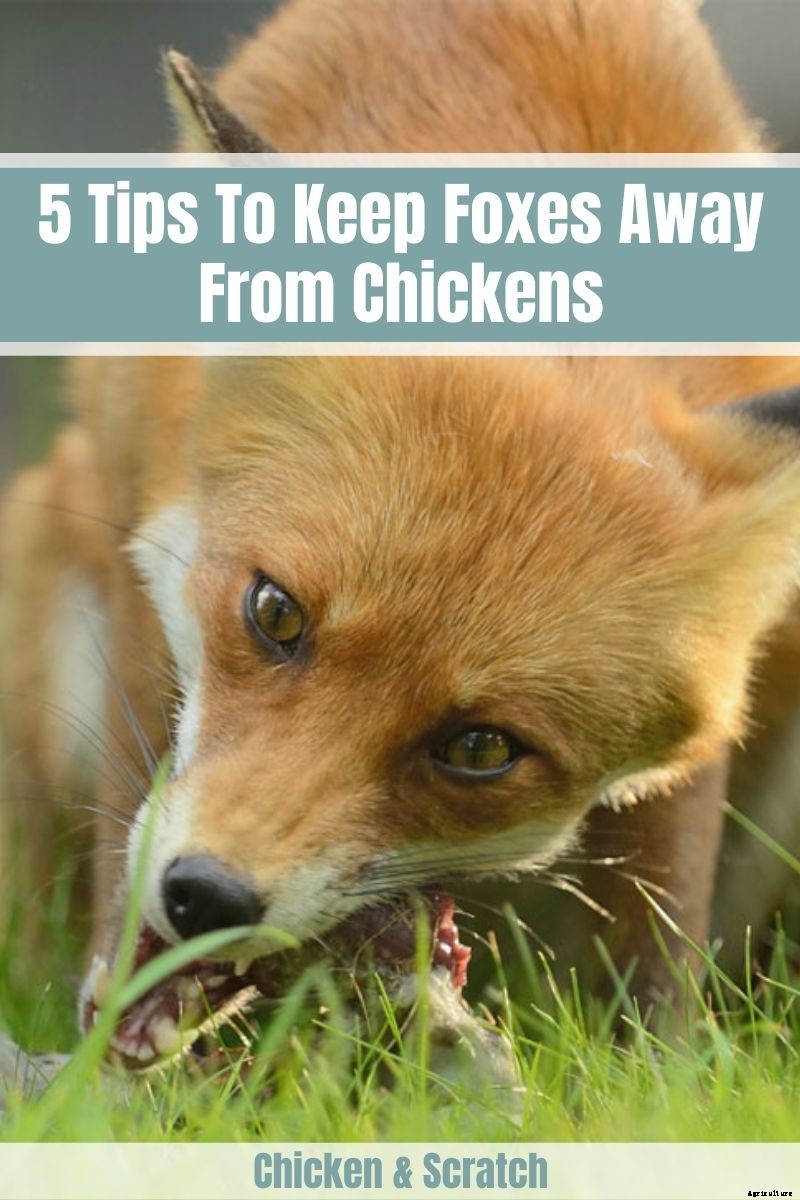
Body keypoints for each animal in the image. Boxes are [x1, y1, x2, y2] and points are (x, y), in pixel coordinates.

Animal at [3, 0, 800, 1070]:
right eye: (274, 613)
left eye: (480, 748)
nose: (206, 897)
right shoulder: (142, 545)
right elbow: (130, 819)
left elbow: (660, 935)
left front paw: (659, 1082)